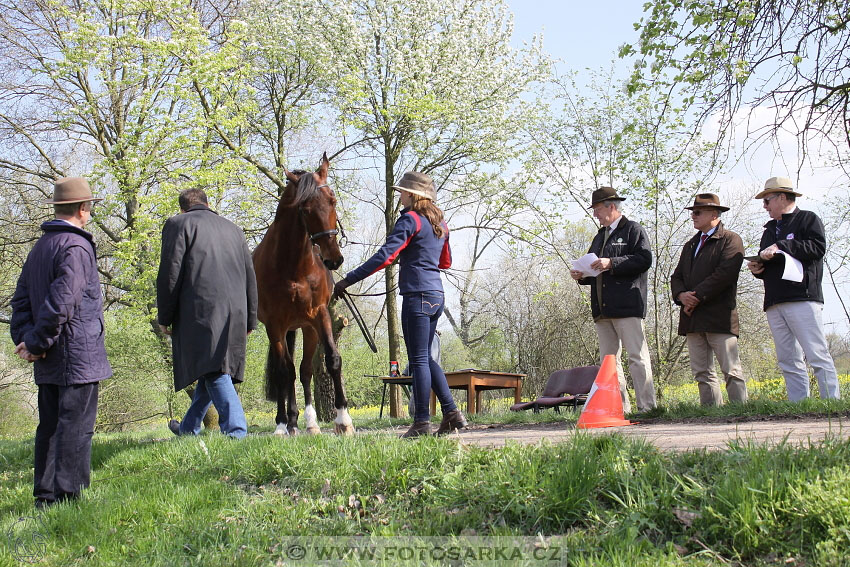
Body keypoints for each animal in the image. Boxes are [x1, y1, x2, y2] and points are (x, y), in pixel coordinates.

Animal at [255, 153, 354, 438]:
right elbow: (282, 373)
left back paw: (309, 422)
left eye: (332, 200)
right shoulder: (275, 325)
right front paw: (281, 424)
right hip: (285, 330)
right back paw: (288, 422)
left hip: (307, 329)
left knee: (305, 370)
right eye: (305, 208)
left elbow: (332, 360)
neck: (294, 267)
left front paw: (343, 420)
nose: (334, 259)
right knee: (286, 372)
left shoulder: (320, 316)